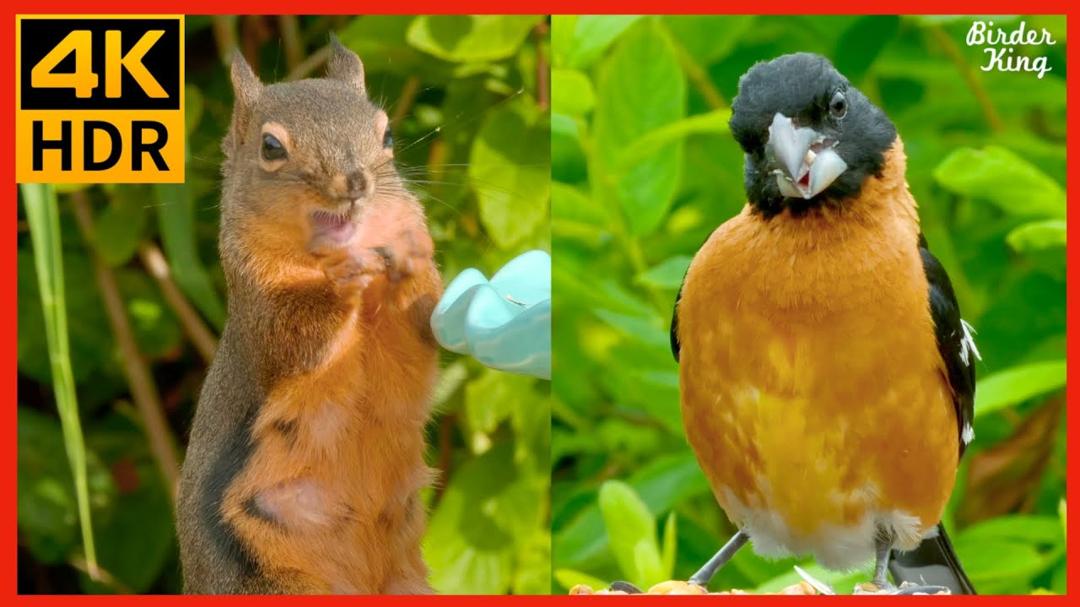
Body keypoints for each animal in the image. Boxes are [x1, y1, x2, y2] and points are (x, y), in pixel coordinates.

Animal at [176, 39, 442, 594]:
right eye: (271, 147)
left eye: (387, 135)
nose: (356, 183)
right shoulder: (260, 314)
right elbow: (298, 332)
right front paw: (345, 277)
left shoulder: (405, 343)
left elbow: (419, 332)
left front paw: (410, 257)